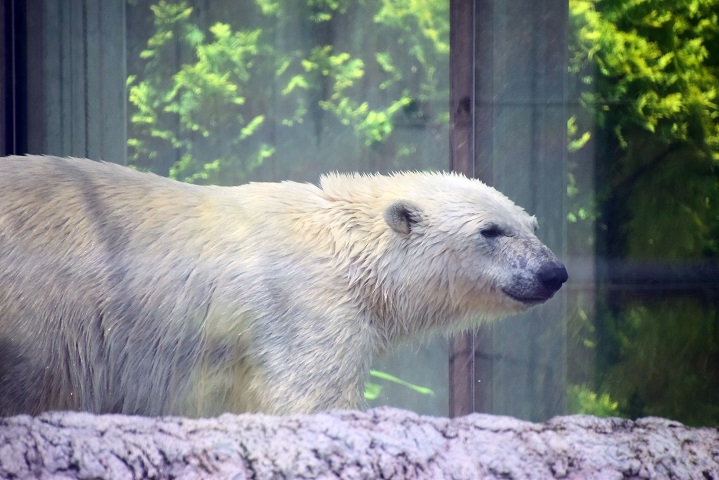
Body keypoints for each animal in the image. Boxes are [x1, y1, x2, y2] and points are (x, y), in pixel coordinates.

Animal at [0, 155, 568, 416]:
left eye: (531, 225)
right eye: (490, 231)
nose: (553, 273)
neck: (346, 244)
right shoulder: (305, 305)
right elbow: (312, 397)